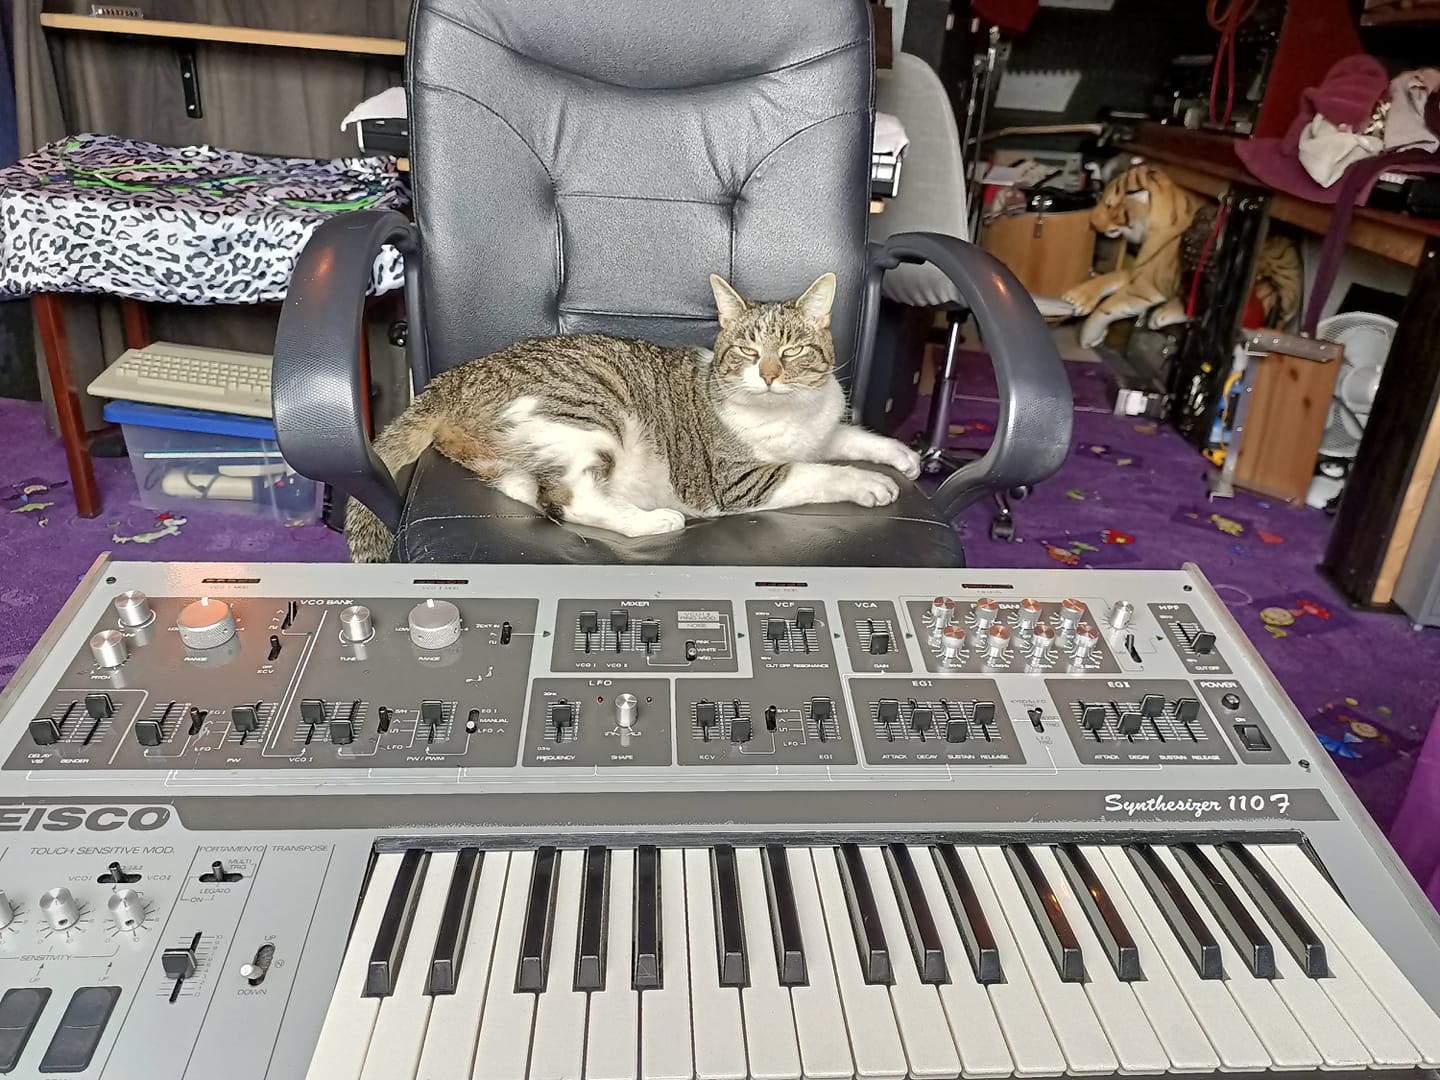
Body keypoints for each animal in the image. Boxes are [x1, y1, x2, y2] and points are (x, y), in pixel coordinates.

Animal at [342, 272, 915, 567]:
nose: (770, 374)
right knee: (571, 500)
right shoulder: (740, 482)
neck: (793, 417)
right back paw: (652, 520)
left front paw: (902, 457)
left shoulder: (824, 430)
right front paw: (867, 483)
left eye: (792, 351)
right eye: (749, 351)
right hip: (591, 416)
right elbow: (818, 471)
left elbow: (852, 436)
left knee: (536, 494)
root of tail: (452, 379)